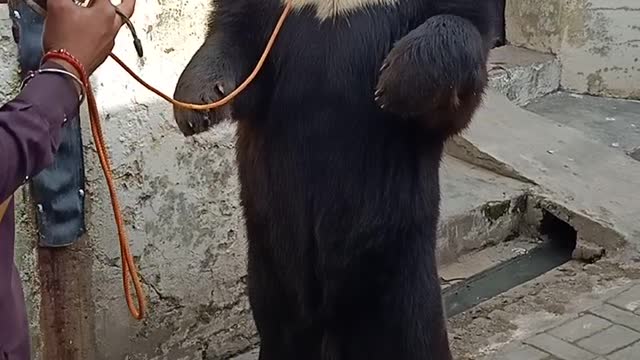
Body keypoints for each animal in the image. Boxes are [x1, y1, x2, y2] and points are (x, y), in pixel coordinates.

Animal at [172, 1, 492, 358]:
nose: (393, 80)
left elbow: (463, 31)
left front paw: (398, 80)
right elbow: (239, 41)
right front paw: (194, 105)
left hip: (398, 254)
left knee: (412, 328)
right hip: (269, 259)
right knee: (279, 327)